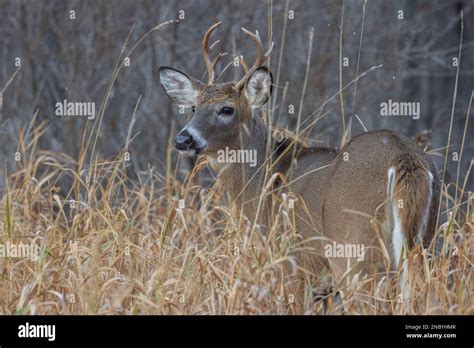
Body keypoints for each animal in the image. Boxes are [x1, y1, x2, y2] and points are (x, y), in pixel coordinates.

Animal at [159, 21, 440, 304]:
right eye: (193, 107)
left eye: (227, 109)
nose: (183, 138)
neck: (260, 181)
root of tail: (404, 157)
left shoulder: (291, 259)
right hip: (422, 245)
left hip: (354, 247)